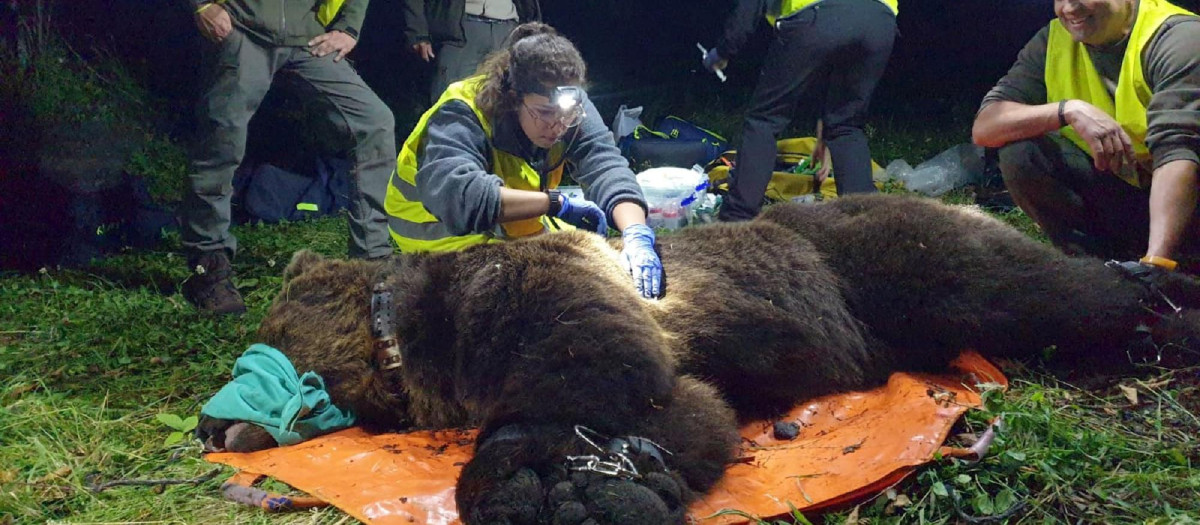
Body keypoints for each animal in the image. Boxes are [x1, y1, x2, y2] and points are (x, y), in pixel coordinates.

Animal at [198, 194, 1200, 525]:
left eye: (262, 358)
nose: (211, 422)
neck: (415, 347)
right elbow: (680, 409)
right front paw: (604, 472)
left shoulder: (540, 290)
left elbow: (598, 367)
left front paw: (562, 479)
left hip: (889, 259)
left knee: (1036, 287)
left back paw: (1156, 301)